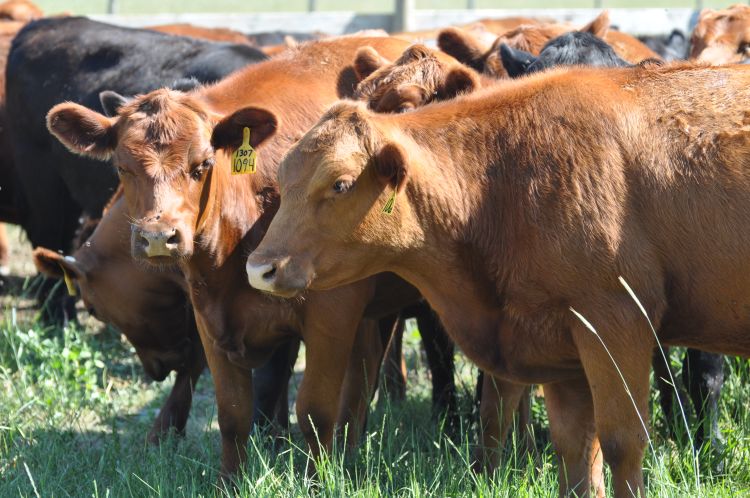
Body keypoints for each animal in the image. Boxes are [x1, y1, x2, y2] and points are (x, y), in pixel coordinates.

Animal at [47, 35, 434, 478]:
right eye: (122, 168)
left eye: (202, 164)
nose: (159, 238)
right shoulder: (209, 316)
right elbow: (233, 414)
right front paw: (231, 480)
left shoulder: (332, 314)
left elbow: (314, 410)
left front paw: (319, 479)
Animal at [239, 63, 750, 498]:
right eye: (284, 180)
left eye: (340, 184)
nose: (259, 268)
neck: (506, 177)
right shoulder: (560, 348)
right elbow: (575, 451)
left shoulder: (616, 322)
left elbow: (622, 441)